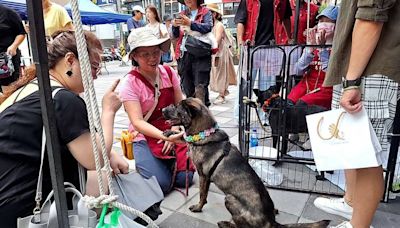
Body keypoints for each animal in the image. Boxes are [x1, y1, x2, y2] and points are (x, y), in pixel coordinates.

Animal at [161, 98, 330, 228]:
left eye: (177, 107)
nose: (162, 109)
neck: (204, 134)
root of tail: (271, 222)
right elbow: (183, 136)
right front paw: (171, 133)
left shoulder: (204, 176)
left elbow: (203, 195)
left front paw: (198, 207)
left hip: (229, 199)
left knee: (242, 226)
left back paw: (226, 224)